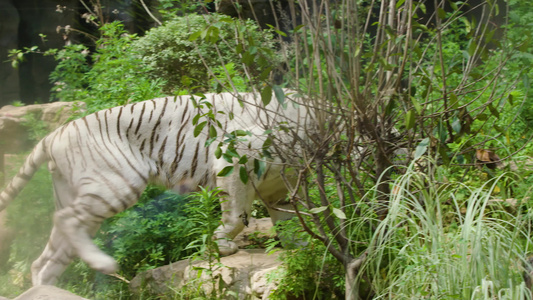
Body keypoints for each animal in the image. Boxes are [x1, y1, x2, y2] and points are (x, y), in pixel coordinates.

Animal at [0, 91, 312, 286]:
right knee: (65, 220)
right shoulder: (235, 159)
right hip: (115, 185)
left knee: (46, 259)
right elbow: (237, 216)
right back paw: (104, 264)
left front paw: (304, 250)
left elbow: (290, 221)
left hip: (76, 196)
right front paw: (221, 246)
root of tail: (54, 134)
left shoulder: (278, 189)